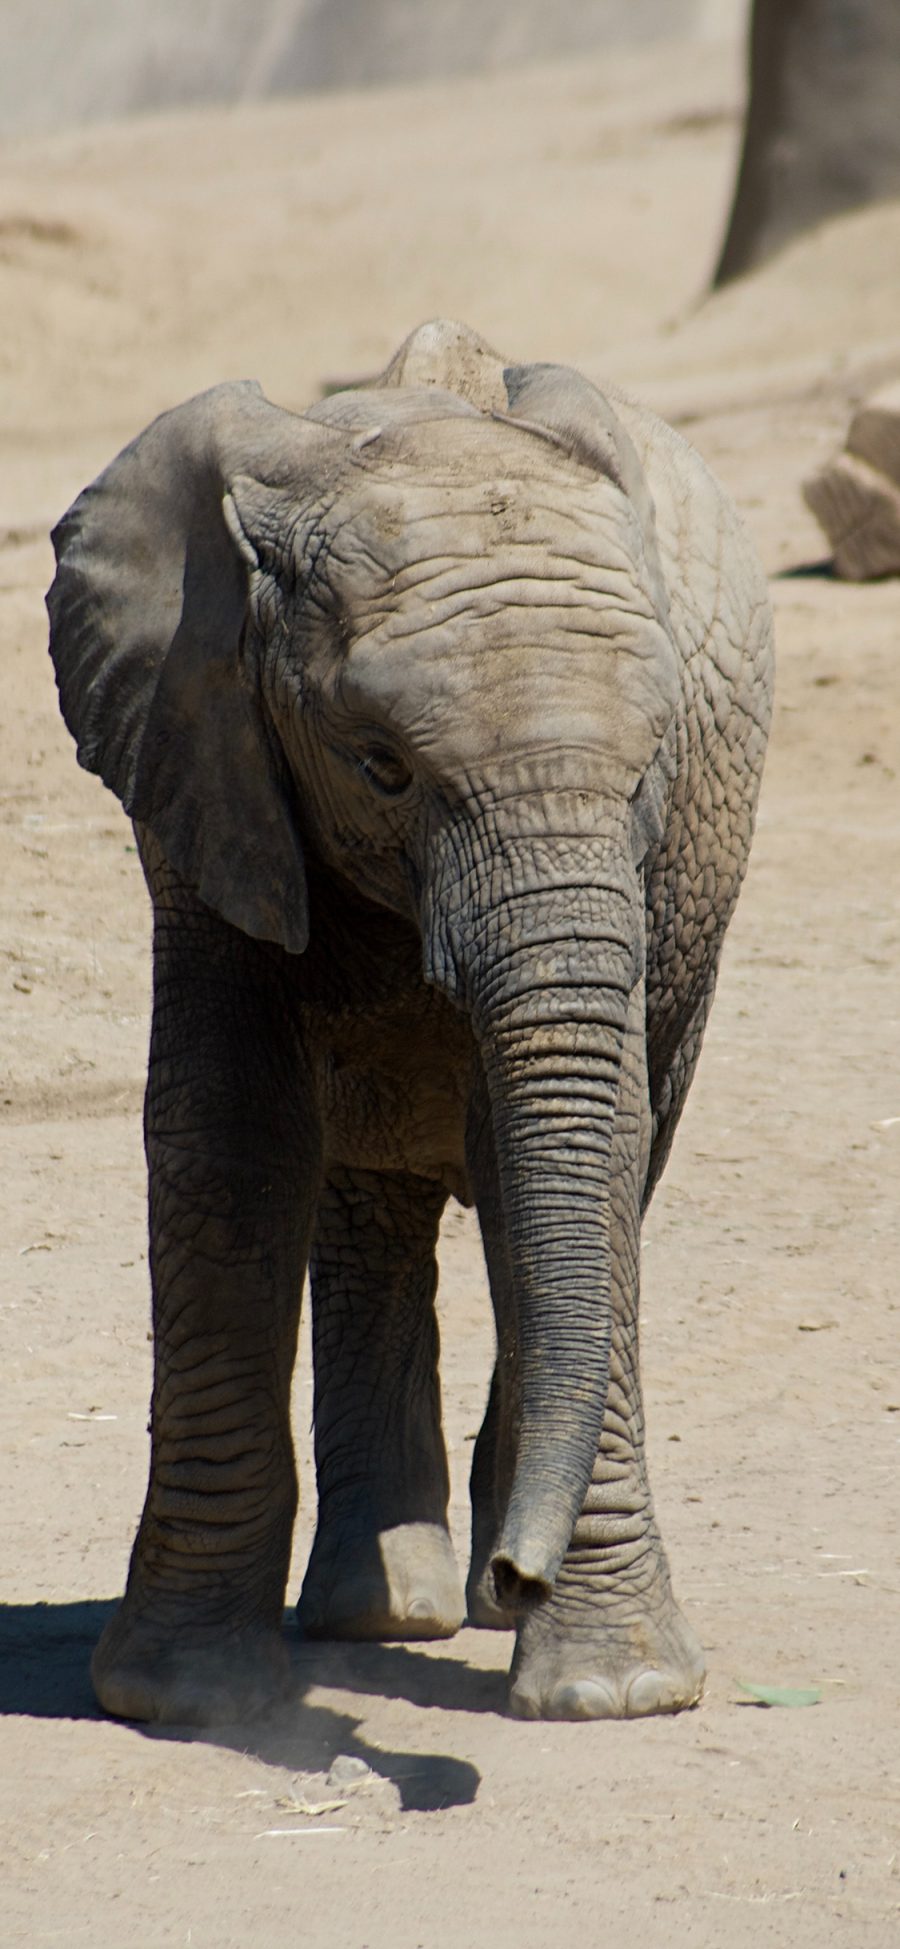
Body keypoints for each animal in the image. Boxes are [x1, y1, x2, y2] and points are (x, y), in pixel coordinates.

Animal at [45, 323, 771, 1738]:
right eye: (380, 764)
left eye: (654, 763)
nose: (517, 1571)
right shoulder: (201, 762)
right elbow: (228, 1134)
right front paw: (184, 1695)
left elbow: (589, 1144)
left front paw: (612, 1693)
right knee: (367, 1198)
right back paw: (390, 1612)